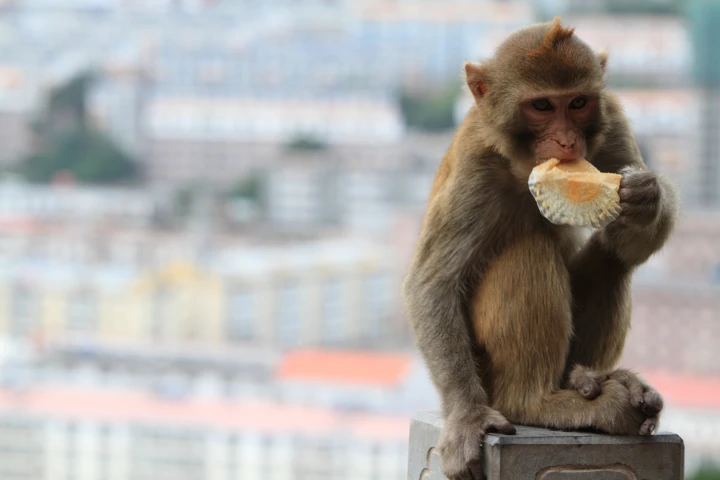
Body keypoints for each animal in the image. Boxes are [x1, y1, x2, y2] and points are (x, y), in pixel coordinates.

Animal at [402, 18, 678, 480]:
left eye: (578, 103)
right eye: (543, 106)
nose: (566, 141)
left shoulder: (614, 123)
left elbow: (630, 244)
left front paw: (646, 198)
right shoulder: (475, 164)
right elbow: (433, 282)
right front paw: (467, 419)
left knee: (613, 260)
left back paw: (588, 381)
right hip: (489, 374)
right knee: (529, 251)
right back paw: (539, 402)